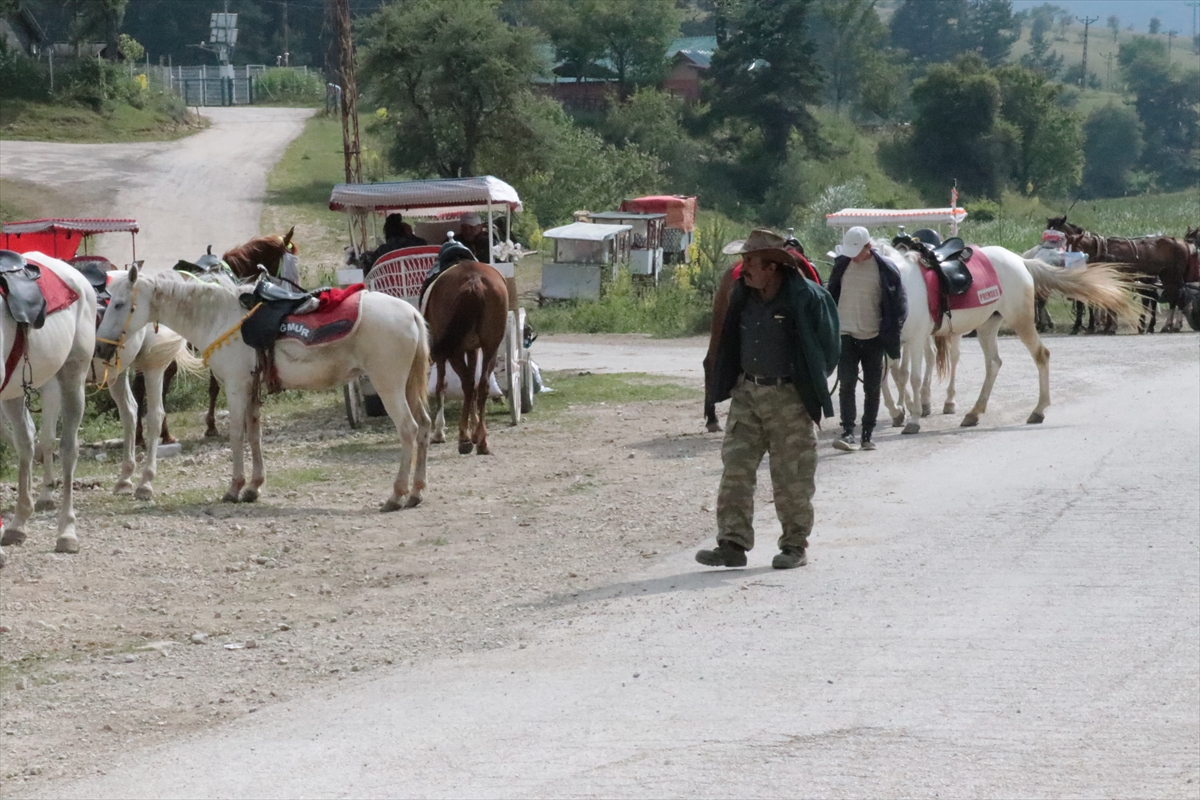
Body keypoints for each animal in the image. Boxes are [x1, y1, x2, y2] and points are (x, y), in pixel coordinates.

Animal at [0, 253, 97, 561]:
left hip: (73, 377)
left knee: (67, 448)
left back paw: (67, 532)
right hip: (12, 393)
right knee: (26, 443)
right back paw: (18, 524)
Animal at [97, 266, 432, 510]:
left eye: (119, 304)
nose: (100, 348)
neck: (219, 317)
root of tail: (412, 313)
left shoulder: (235, 387)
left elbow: (236, 435)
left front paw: (234, 488)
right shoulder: (251, 388)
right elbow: (254, 434)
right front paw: (253, 487)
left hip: (388, 385)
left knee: (408, 429)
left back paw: (396, 495)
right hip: (409, 386)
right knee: (425, 426)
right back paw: (416, 492)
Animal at [424, 260, 508, 453]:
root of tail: (474, 280)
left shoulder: (446, 354)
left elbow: (441, 386)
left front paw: (439, 432)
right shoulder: (473, 349)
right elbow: (474, 384)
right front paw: (475, 427)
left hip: (453, 351)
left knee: (468, 384)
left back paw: (464, 438)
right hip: (491, 346)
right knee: (481, 384)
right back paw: (481, 440)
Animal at [873, 242, 1132, 434]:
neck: (904, 285)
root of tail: (1020, 261)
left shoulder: (916, 339)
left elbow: (912, 377)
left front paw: (913, 418)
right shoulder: (890, 343)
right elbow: (890, 375)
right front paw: (898, 411)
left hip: (1020, 320)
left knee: (1041, 355)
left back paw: (1038, 410)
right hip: (987, 326)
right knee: (993, 363)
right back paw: (974, 413)